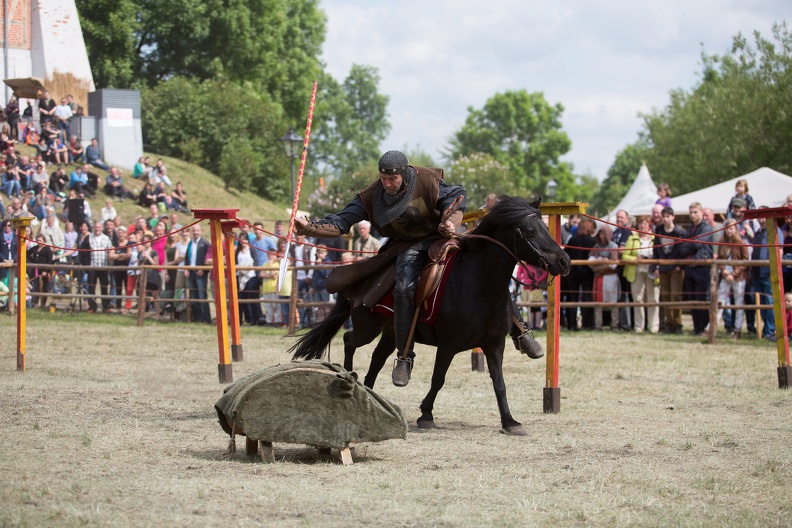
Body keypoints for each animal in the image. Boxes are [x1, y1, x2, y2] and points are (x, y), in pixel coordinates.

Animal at [290, 196, 568, 436]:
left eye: (545, 227)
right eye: (529, 231)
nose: (564, 261)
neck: (476, 283)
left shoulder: (494, 345)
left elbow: (499, 383)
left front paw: (510, 422)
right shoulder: (448, 346)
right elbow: (438, 379)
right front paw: (426, 415)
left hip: (391, 333)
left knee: (377, 360)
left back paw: (368, 392)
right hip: (367, 327)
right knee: (350, 340)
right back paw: (350, 378)